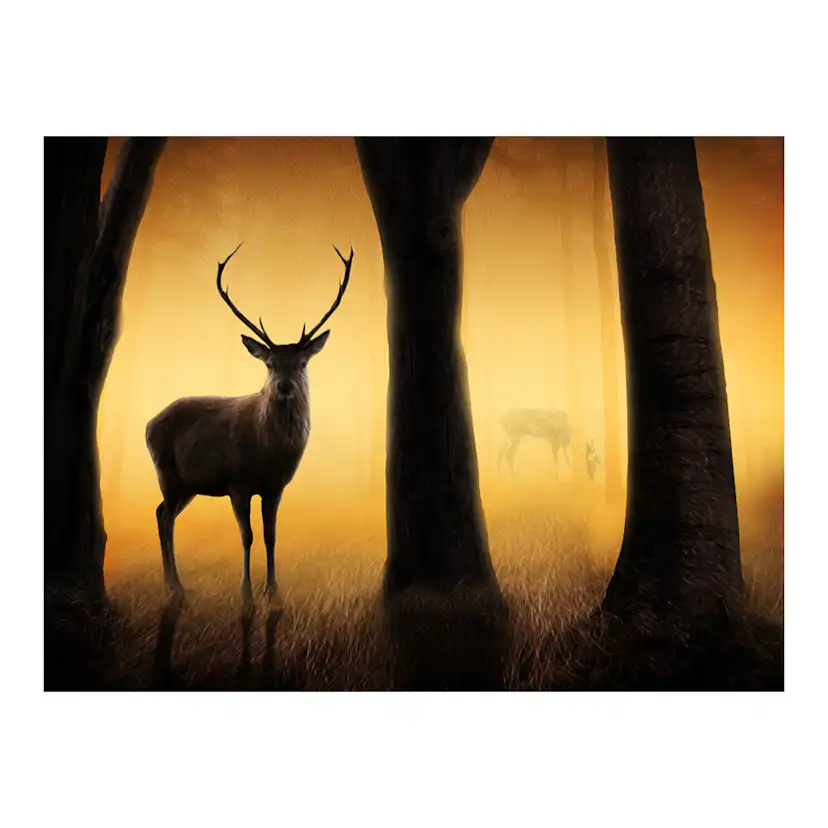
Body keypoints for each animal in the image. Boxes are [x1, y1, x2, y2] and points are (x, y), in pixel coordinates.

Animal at [146, 240, 354, 601]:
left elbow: (271, 536)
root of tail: (147, 424)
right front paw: (246, 593)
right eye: (269, 364)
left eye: (301, 363)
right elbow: (247, 536)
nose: (284, 386)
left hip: (189, 484)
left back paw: (173, 583)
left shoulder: (276, 487)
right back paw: (176, 586)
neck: (269, 453)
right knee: (165, 518)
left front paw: (273, 592)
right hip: (167, 472)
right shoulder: (237, 482)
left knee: (160, 513)